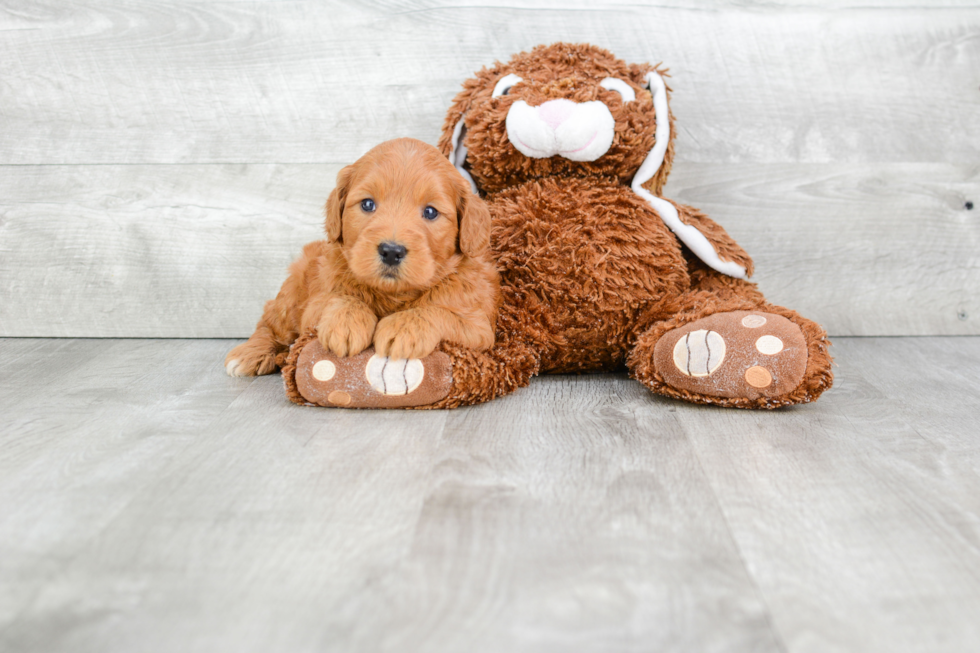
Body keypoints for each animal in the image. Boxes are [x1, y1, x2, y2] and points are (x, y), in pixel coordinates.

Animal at [224, 140, 498, 380]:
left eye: (430, 212)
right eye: (367, 204)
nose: (391, 251)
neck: (393, 294)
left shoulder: (478, 325)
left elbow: (439, 312)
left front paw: (403, 327)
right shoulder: (315, 304)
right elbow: (339, 299)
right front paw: (346, 322)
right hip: (293, 293)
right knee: (270, 322)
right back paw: (251, 353)